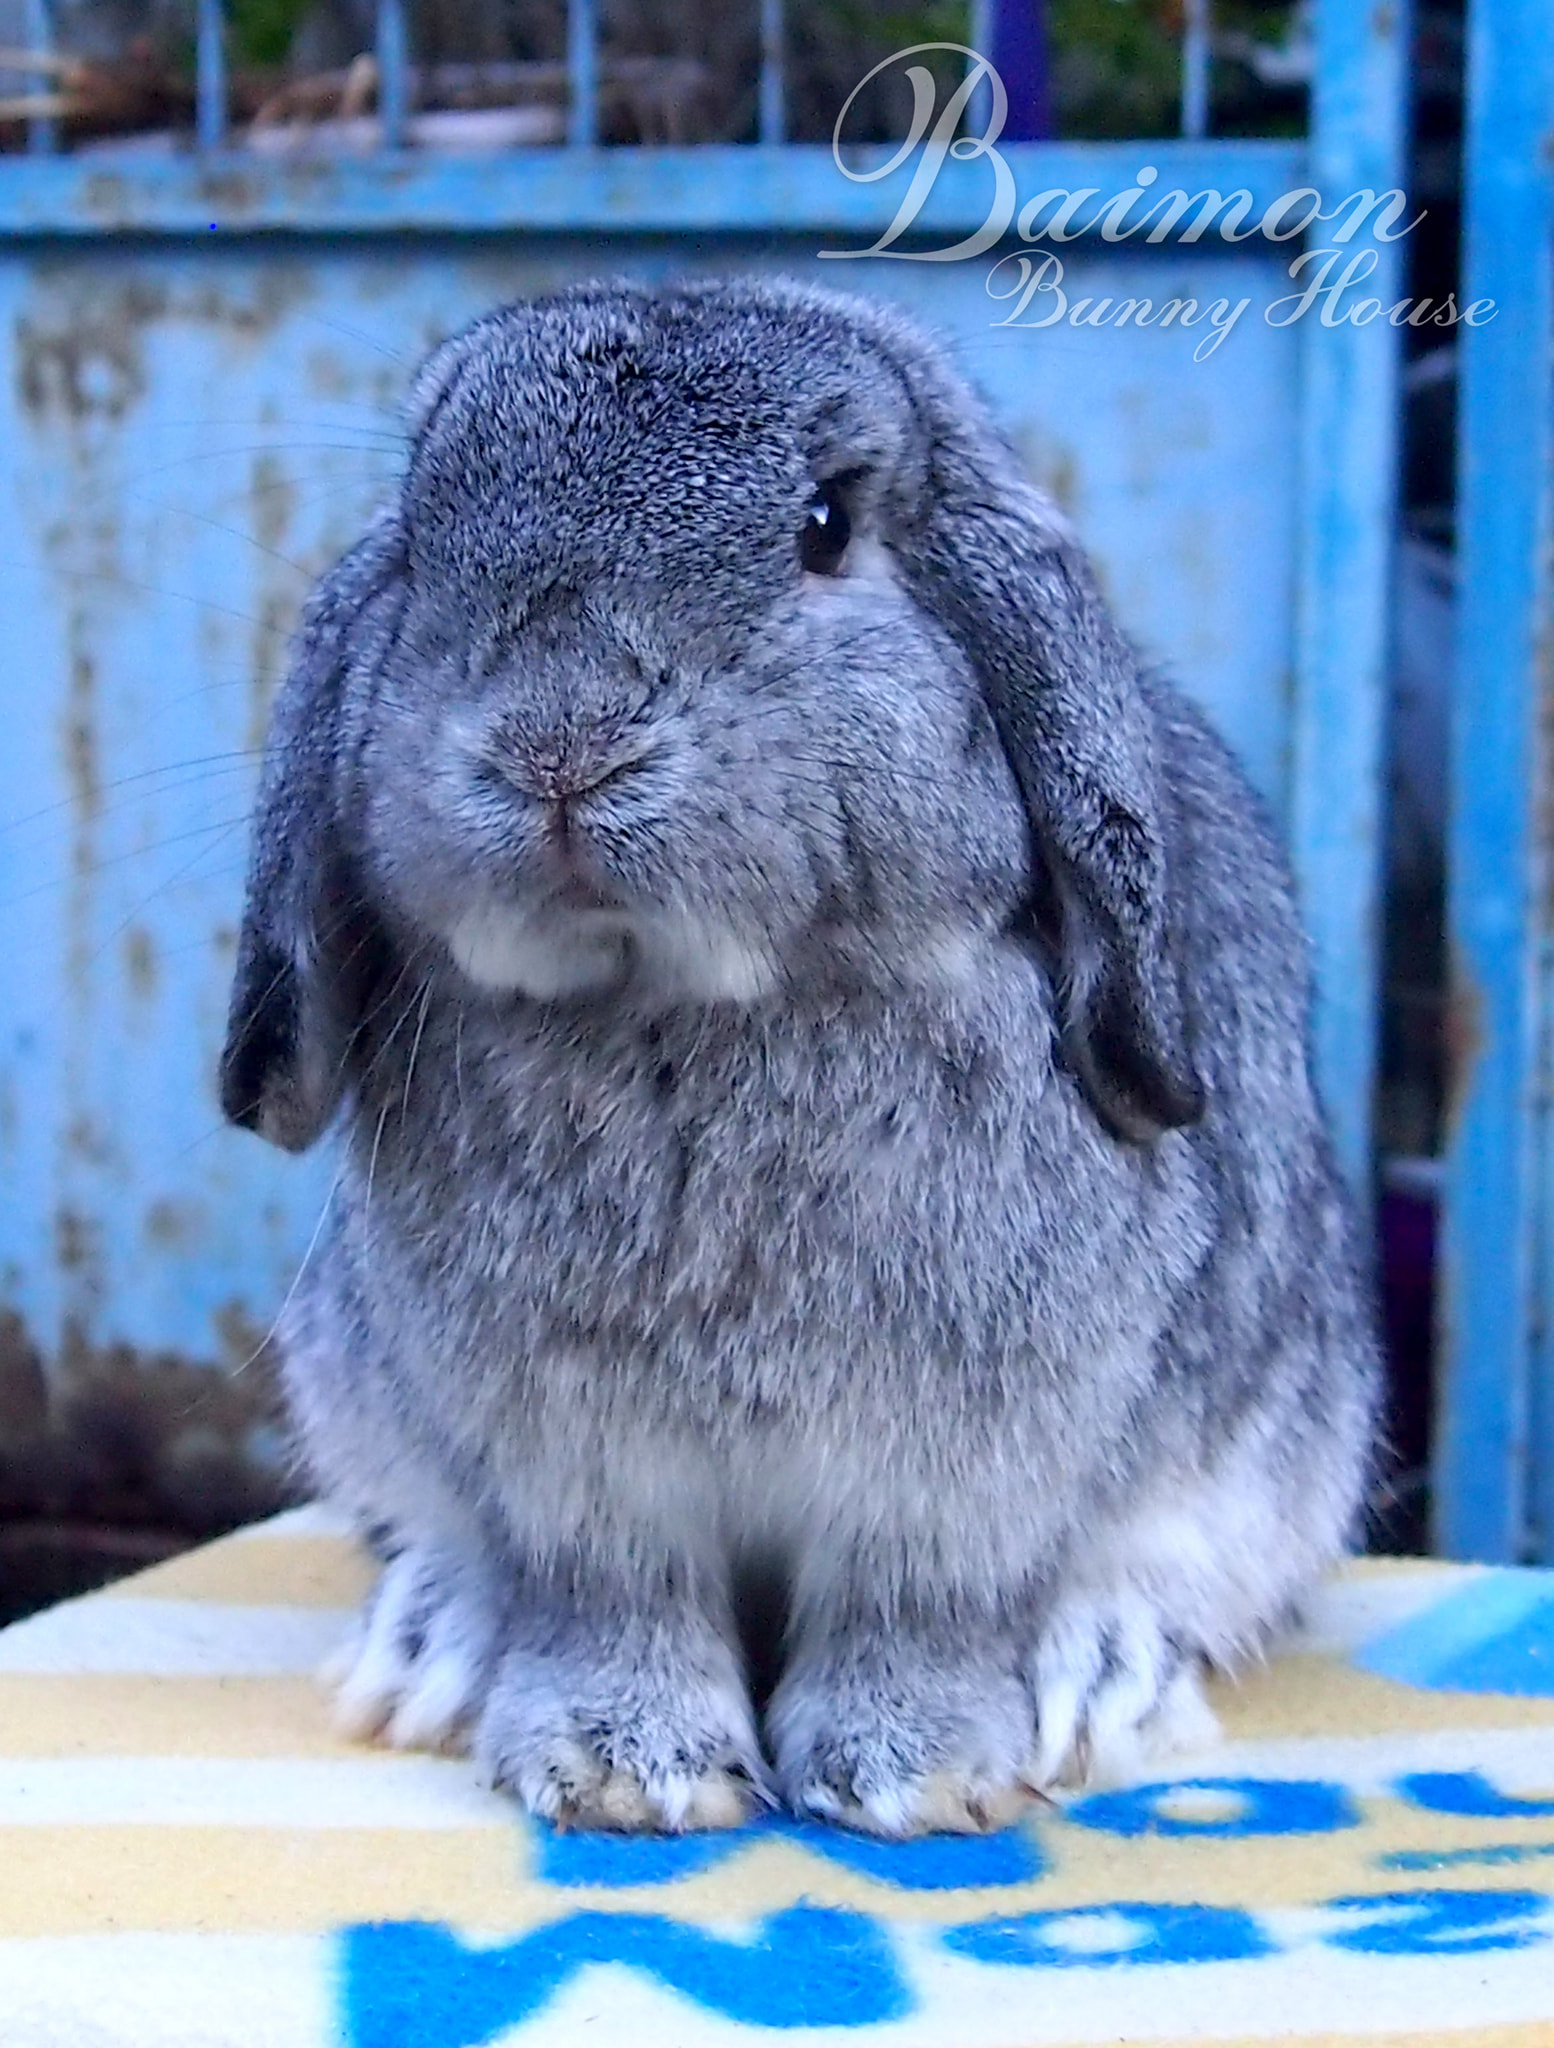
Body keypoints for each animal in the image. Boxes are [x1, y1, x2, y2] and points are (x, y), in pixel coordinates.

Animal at [220, 275, 1379, 1837]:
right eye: (419, 525)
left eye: (827, 524)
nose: (557, 743)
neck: (688, 1012)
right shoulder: (580, 1472)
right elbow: (613, 1600)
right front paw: (627, 1774)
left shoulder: (952, 1474)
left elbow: (916, 1607)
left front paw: (912, 1775)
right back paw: (430, 1640)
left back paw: (1102, 1681)